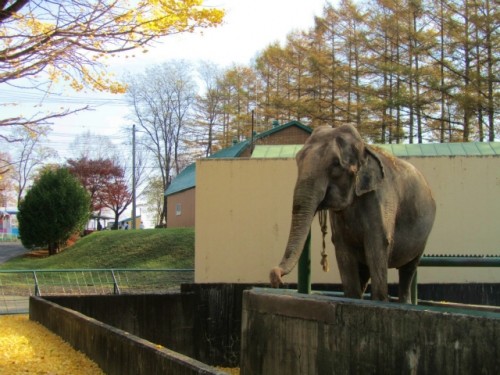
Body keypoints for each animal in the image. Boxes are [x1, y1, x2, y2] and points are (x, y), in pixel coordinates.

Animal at [270, 125, 434, 304]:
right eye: (298, 159)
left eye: (336, 164)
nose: (276, 277)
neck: (365, 148)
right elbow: (343, 249)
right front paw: (353, 298)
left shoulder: (381, 199)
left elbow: (377, 245)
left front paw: (379, 301)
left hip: (423, 237)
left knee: (408, 269)